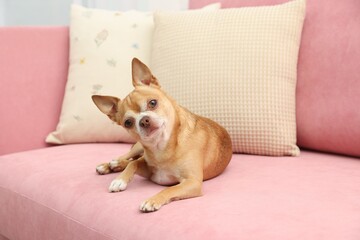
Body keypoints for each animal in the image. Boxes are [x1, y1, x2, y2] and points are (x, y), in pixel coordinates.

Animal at [93, 58, 232, 212]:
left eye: (152, 103)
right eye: (128, 122)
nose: (144, 120)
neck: (161, 147)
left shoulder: (192, 182)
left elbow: (169, 189)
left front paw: (152, 200)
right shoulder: (150, 170)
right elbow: (134, 163)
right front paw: (119, 180)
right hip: (138, 147)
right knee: (128, 157)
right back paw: (110, 165)